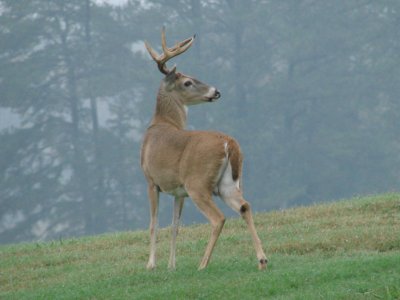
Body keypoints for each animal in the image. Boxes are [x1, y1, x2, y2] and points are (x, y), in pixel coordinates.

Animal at [141, 28, 268, 270]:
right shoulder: (177, 190)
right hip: (227, 183)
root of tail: (229, 143)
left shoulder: (151, 180)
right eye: (188, 82)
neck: (161, 123)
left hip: (198, 183)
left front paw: (151, 265)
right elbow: (175, 225)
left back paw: (203, 264)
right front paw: (171, 266)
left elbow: (154, 223)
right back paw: (262, 259)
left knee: (218, 218)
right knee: (245, 206)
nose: (216, 91)